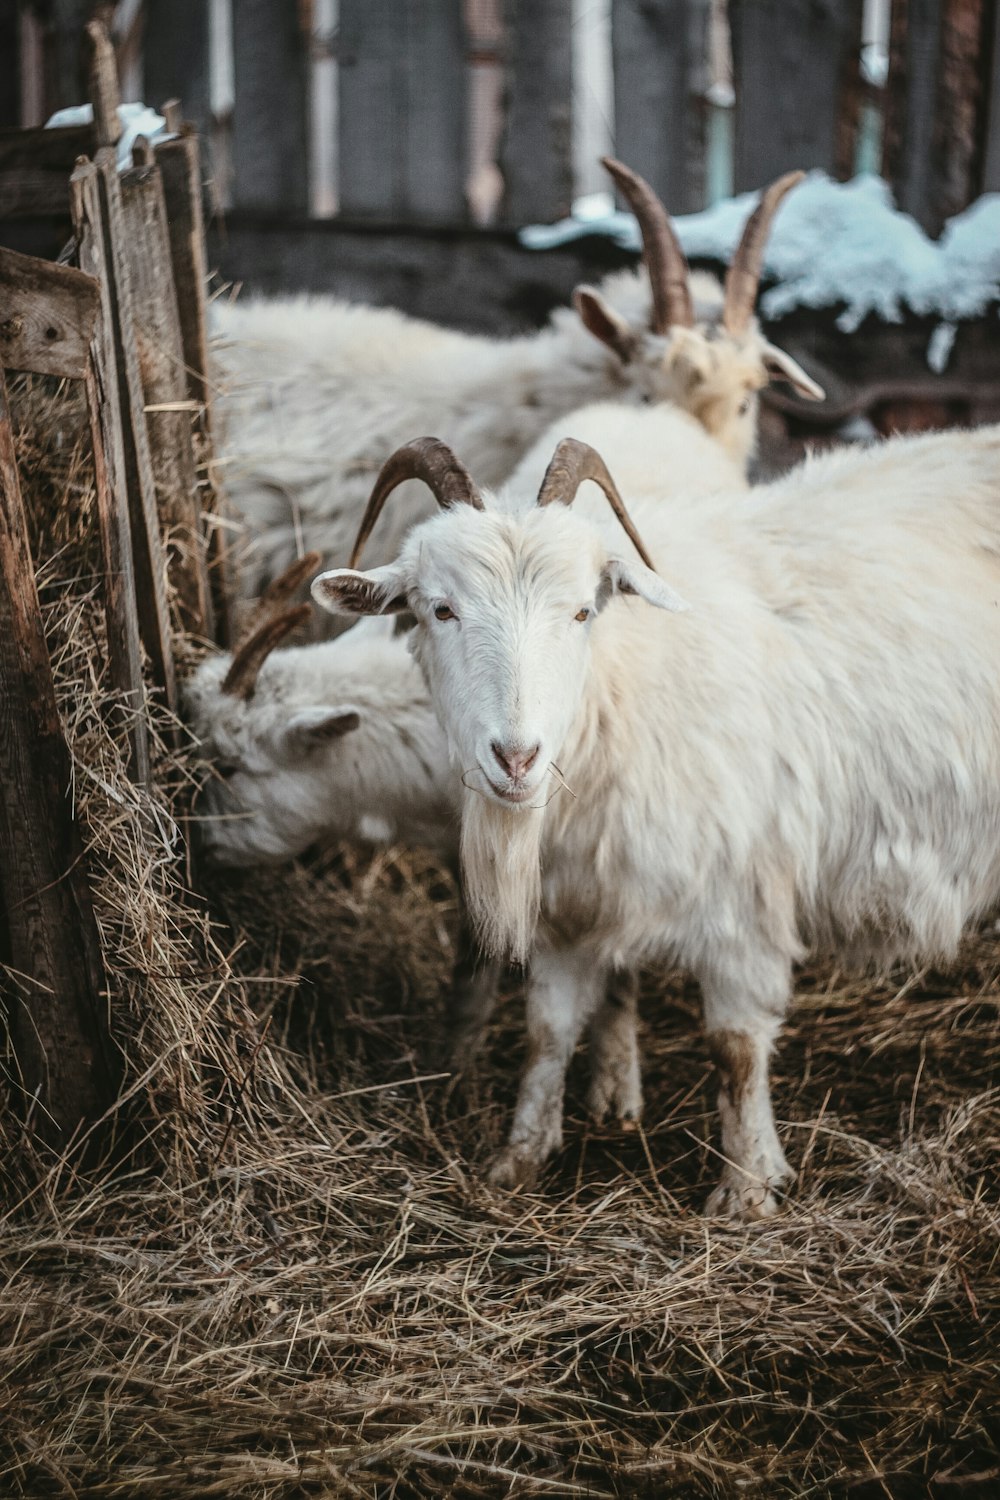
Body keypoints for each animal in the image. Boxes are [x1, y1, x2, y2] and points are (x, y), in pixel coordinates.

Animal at [316, 426, 1000, 1218]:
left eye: (583, 611)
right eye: (439, 610)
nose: (516, 758)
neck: (619, 692)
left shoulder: (745, 903)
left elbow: (734, 1047)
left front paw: (747, 1190)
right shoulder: (570, 904)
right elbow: (547, 1031)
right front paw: (519, 1159)